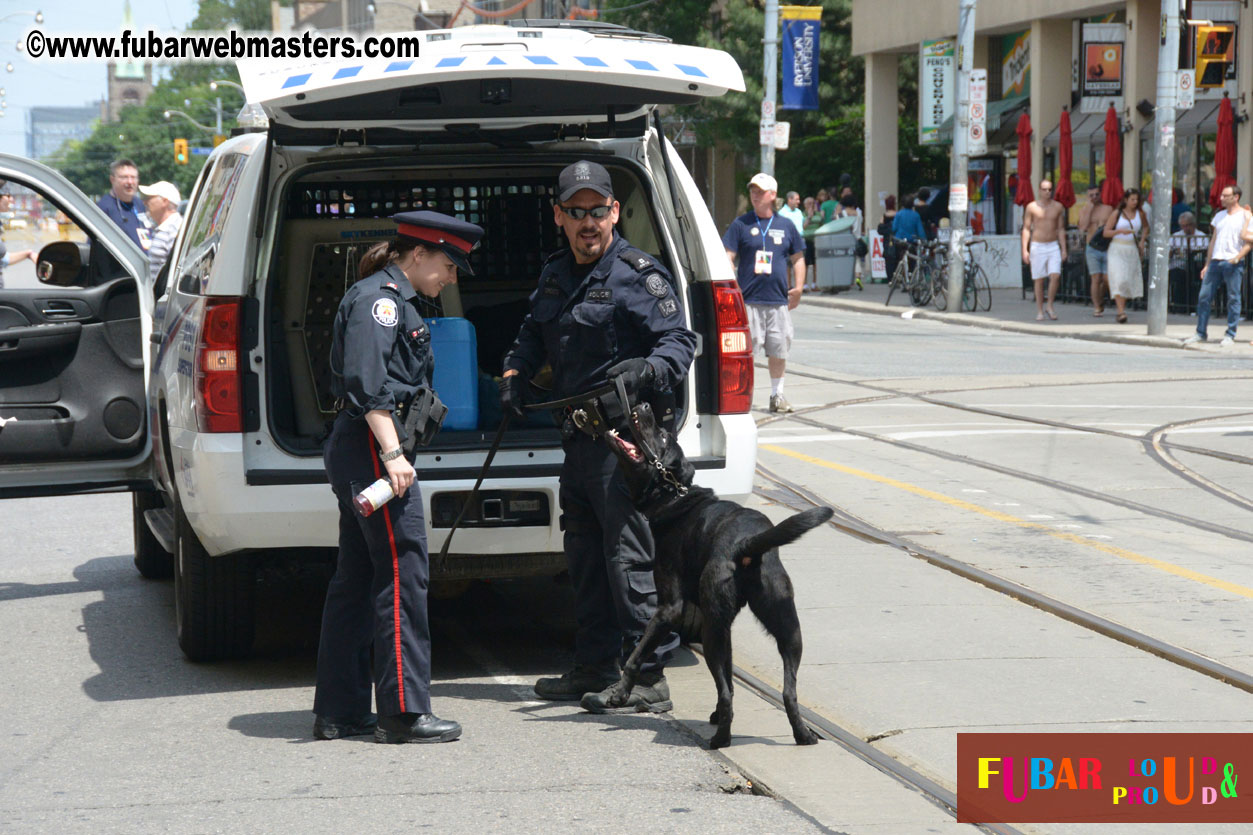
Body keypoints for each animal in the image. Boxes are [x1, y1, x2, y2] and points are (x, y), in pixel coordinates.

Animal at [598, 401, 831, 742]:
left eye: (663, 437)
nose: (643, 404)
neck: (675, 497)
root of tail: (746, 543)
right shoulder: (725, 627)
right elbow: (731, 680)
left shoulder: (668, 610)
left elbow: (636, 655)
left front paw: (620, 693)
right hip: (786, 628)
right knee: (787, 691)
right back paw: (802, 734)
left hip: (712, 634)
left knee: (726, 693)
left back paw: (720, 740)